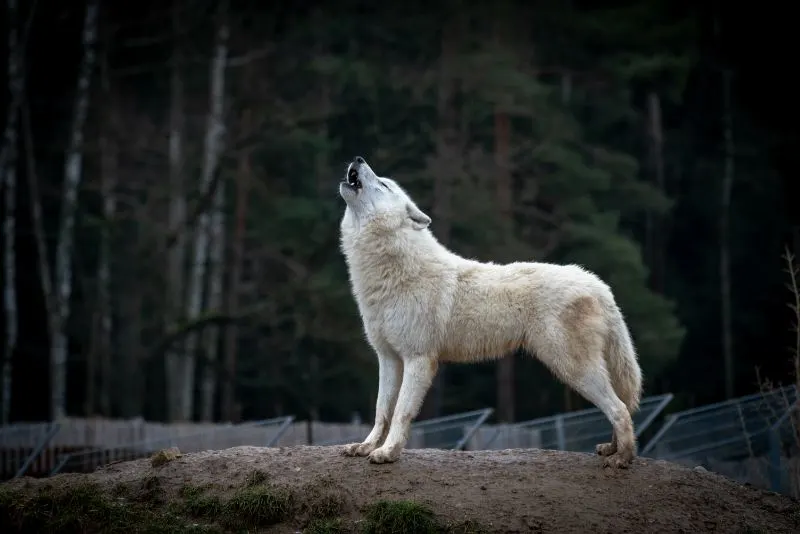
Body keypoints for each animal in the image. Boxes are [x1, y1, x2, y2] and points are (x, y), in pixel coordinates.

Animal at [338, 155, 644, 468]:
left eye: (383, 184)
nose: (358, 159)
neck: (393, 270)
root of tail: (597, 284)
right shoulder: (388, 358)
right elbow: (381, 410)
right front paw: (365, 446)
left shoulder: (418, 359)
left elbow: (400, 412)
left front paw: (388, 453)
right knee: (620, 405)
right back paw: (612, 449)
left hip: (572, 368)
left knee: (620, 409)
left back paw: (623, 458)